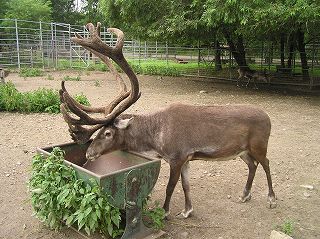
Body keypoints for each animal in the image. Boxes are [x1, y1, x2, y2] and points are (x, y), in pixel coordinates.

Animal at [60, 23, 278, 218]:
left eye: (107, 133)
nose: (89, 153)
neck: (156, 140)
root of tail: (268, 117)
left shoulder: (177, 156)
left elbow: (170, 187)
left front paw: (165, 212)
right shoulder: (187, 158)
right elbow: (186, 185)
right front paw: (187, 211)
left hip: (259, 144)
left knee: (266, 163)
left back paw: (271, 199)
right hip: (243, 150)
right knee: (253, 165)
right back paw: (244, 195)